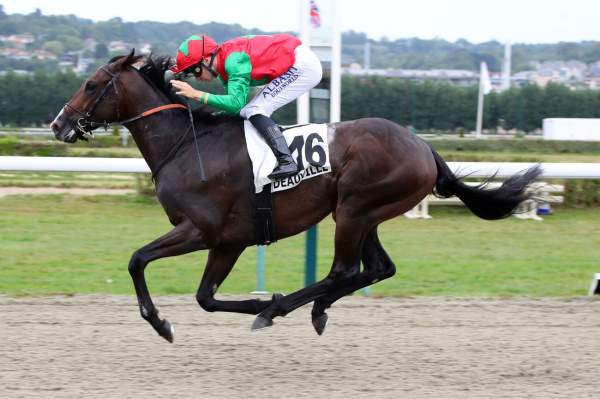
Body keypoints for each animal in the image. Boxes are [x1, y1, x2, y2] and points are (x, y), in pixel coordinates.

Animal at [51, 51, 540, 342]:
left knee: (344, 269)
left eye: (91, 85)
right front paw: (255, 302)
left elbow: (138, 260)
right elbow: (205, 297)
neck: (187, 144)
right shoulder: (229, 241)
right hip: (364, 213)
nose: (59, 124)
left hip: (355, 209)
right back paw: (313, 309)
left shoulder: (203, 230)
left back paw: (285, 307)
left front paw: (162, 322)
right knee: (377, 268)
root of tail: (424, 147)